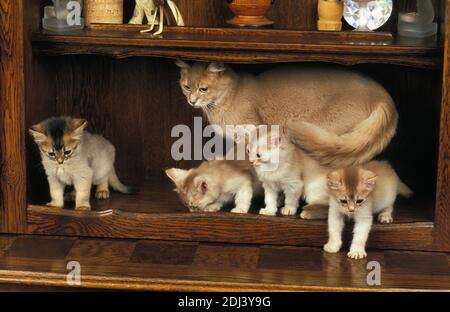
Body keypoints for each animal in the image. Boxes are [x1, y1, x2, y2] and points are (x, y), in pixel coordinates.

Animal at [176, 61, 398, 168]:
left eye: (203, 89)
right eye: (186, 87)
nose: (191, 101)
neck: (232, 93)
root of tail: (383, 95)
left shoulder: (253, 131)